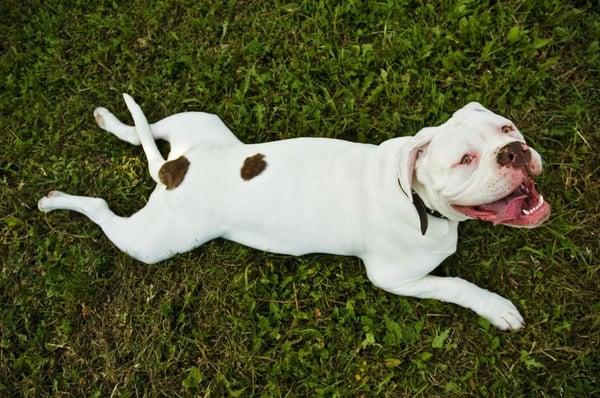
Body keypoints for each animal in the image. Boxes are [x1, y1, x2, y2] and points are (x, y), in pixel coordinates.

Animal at [39, 95, 552, 330]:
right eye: (465, 160)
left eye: (506, 129)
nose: (513, 151)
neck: (415, 195)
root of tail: (172, 169)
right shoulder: (396, 278)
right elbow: (456, 285)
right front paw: (496, 308)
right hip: (152, 243)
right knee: (101, 208)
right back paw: (56, 200)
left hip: (197, 121)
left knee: (143, 129)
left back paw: (109, 119)